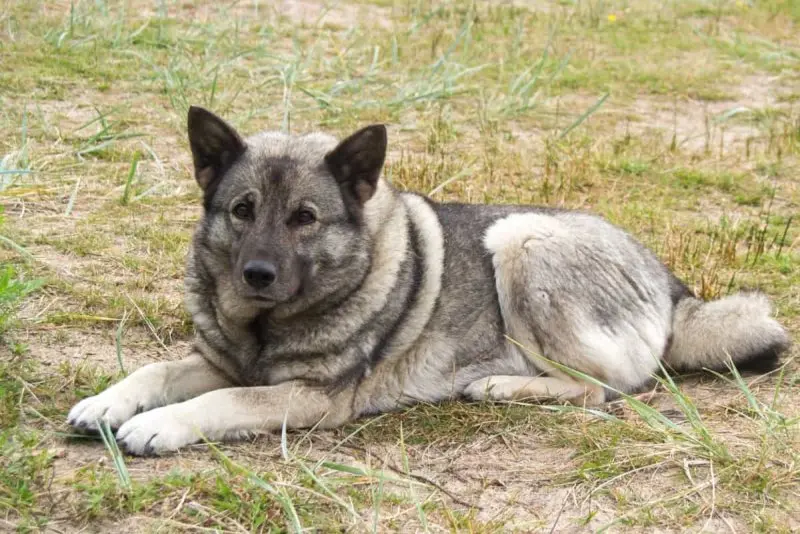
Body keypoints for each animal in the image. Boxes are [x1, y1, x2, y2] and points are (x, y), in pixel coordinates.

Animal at [65, 108, 792, 456]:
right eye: (243, 210)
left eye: (304, 218)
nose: (257, 274)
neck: (265, 328)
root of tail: (673, 285)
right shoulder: (219, 361)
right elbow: (157, 370)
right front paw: (106, 403)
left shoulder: (309, 398)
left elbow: (221, 401)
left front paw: (160, 426)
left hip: (521, 239)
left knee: (605, 388)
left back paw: (500, 385)